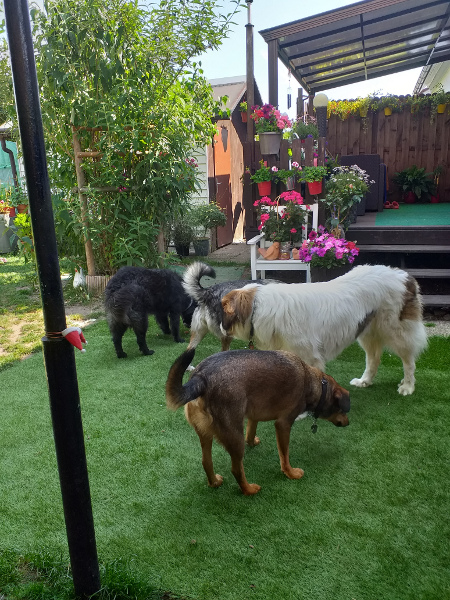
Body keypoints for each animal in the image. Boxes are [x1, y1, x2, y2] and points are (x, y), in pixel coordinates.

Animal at [166, 348, 350, 495]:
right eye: (344, 410)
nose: (348, 423)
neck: (315, 383)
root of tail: (200, 377)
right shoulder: (283, 424)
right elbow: (285, 455)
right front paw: (290, 473)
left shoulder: (254, 414)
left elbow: (251, 430)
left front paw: (252, 441)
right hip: (234, 436)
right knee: (236, 469)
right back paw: (248, 490)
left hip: (205, 434)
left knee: (206, 461)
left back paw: (215, 482)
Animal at [221, 264, 428, 396]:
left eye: (222, 311)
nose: (221, 328)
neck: (258, 307)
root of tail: (404, 276)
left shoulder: (310, 357)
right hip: (367, 332)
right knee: (373, 359)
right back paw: (365, 381)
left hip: (397, 333)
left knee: (409, 362)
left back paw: (408, 386)